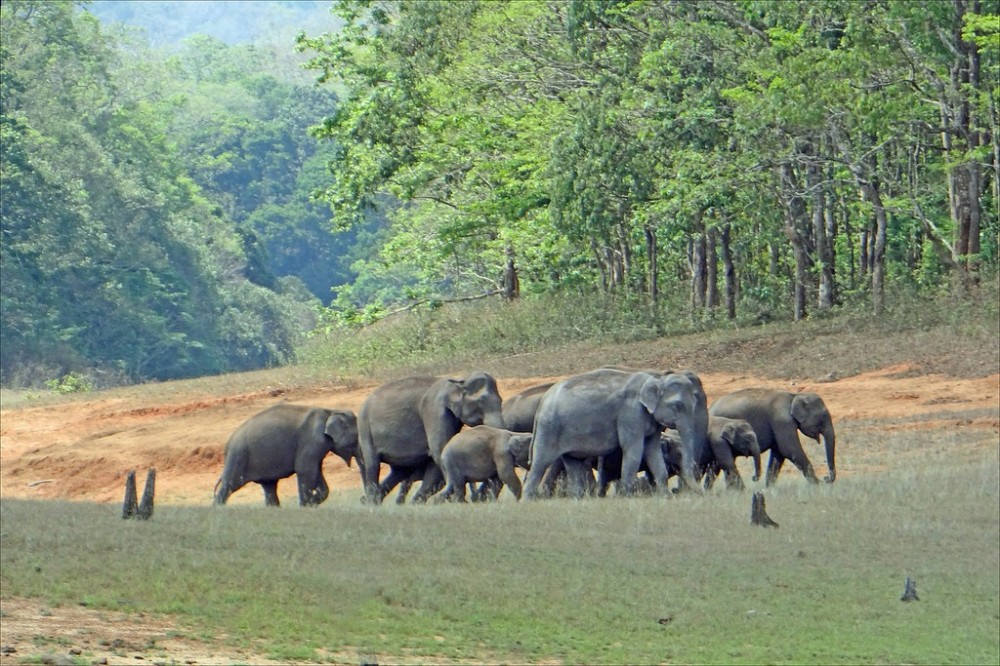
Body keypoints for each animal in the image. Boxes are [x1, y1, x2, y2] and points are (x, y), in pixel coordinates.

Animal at [213, 402, 362, 506]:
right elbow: (305, 470)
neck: (330, 411)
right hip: (238, 457)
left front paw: (312, 502)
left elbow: (316, 472)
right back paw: (217, 508)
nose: (363, 499)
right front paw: (306, 505)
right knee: (229, 485)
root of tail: (227, 445)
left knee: (269, 487)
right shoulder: (311, 441)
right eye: (356, 438)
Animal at [356, 368, 504, 504]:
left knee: (400, 471)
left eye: (501, 400)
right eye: (480, 402)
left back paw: (370, 501)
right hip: (365, 430)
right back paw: (371, 502)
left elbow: (436, 462)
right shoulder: (434, 411)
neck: (459, 380)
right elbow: (440, 450)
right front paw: (455, 501)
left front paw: (418, 504)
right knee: (372, 465)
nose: (477, 498)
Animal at [524, 368, 704, 498]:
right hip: (549, 429)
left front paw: (665, 497)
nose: (701, 493)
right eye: (677, 405)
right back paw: (529, 500)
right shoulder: (630, 414)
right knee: (540, 463)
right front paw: (627, 497)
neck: (656, 378)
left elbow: (653, 451)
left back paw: (578, 499)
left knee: (572, 463)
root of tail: (542, 402)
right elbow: (633, 450)